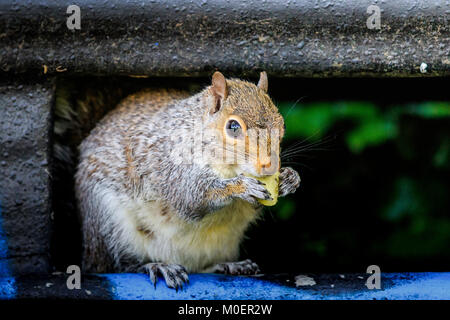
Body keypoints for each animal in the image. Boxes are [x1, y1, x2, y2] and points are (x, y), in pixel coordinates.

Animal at [74, 71, 300, 288]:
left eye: (282, 124)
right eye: (233, 127)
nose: (269, 165)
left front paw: (290, 178)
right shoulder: (170, 166)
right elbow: (191, 196)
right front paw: (240, 187)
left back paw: (229, 265)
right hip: (110, 225)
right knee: (122, 265)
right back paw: (158, 266)